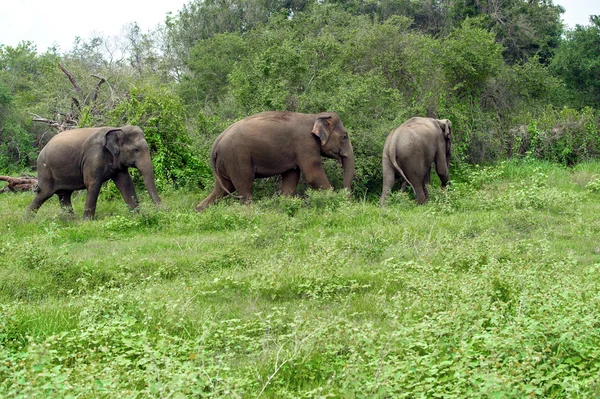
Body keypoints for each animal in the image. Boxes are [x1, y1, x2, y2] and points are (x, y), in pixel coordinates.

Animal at [27, 125, 162, 219]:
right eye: (136, 150)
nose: (164, 211)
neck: (118, 128)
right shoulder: (93, 158)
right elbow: (93, 184)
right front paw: (86, 222)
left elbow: (126, 184)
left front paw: (138, 216)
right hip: (45, 170)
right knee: (44, 193)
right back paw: (26, 221)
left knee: (64, 195)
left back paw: (70, 221)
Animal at [197, 111, 354, 211]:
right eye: (344, 137)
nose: (347, 199)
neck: (315, 116)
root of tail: (216, 143)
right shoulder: (305, 145)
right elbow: (312, 175)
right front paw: (336, 202)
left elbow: (291, 176)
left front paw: (285, 206)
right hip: (237, 158)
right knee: (244, 185)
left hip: (225, 162)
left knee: (223, 187)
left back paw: (199, 210)